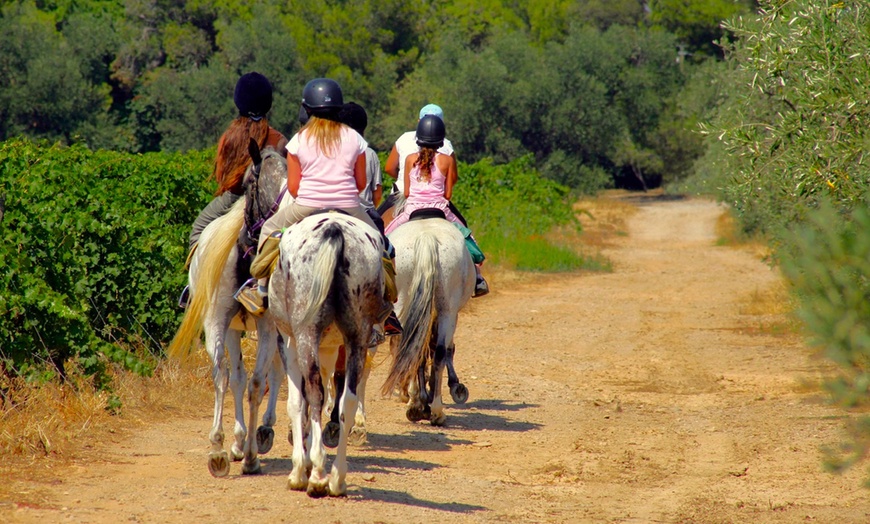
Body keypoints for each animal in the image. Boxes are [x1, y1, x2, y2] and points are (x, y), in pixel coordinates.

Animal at [166, 145, 282, 476]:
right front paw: (228, 446)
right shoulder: (222, 324)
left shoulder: (264, 328)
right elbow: (232, 378)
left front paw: (249, 451)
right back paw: (240, 442)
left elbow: (256, 380)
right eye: (255, 180)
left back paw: (258, 435)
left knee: (273, 373)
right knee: (241, 377)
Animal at [242, 211, 384, 498]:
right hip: (357, 336)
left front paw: (301, 469)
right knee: (348, 399)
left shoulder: (288, 342)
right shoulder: (328, 347)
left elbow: (298, 402)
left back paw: (318, 475)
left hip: (305, 332)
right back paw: (337, 479)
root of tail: (334, 230)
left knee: (317, 393)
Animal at [384, 213, 476, 426]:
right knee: (437, 351)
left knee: (411, 347)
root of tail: (427, 238)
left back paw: (418, 406)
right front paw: (453, 387)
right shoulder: (451, 314)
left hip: (404, 303)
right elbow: (444, 349)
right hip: (447, 311)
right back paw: (434, 409)